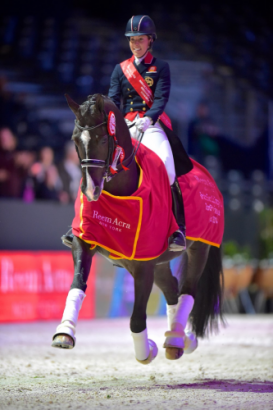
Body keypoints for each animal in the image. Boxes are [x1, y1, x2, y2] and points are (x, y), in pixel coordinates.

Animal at [51, 94, 223, 364]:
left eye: (103, 139)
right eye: (75, 140)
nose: (90, 191)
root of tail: (207, 175)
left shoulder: (143, 265)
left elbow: (136, 319)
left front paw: (146, 351)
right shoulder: (84, 241)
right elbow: (77, 283)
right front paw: (64, 332)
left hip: (199, 249)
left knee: (187, 291)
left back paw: (175, 340)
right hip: (161, 262)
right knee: (172, 290)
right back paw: (181, 338)